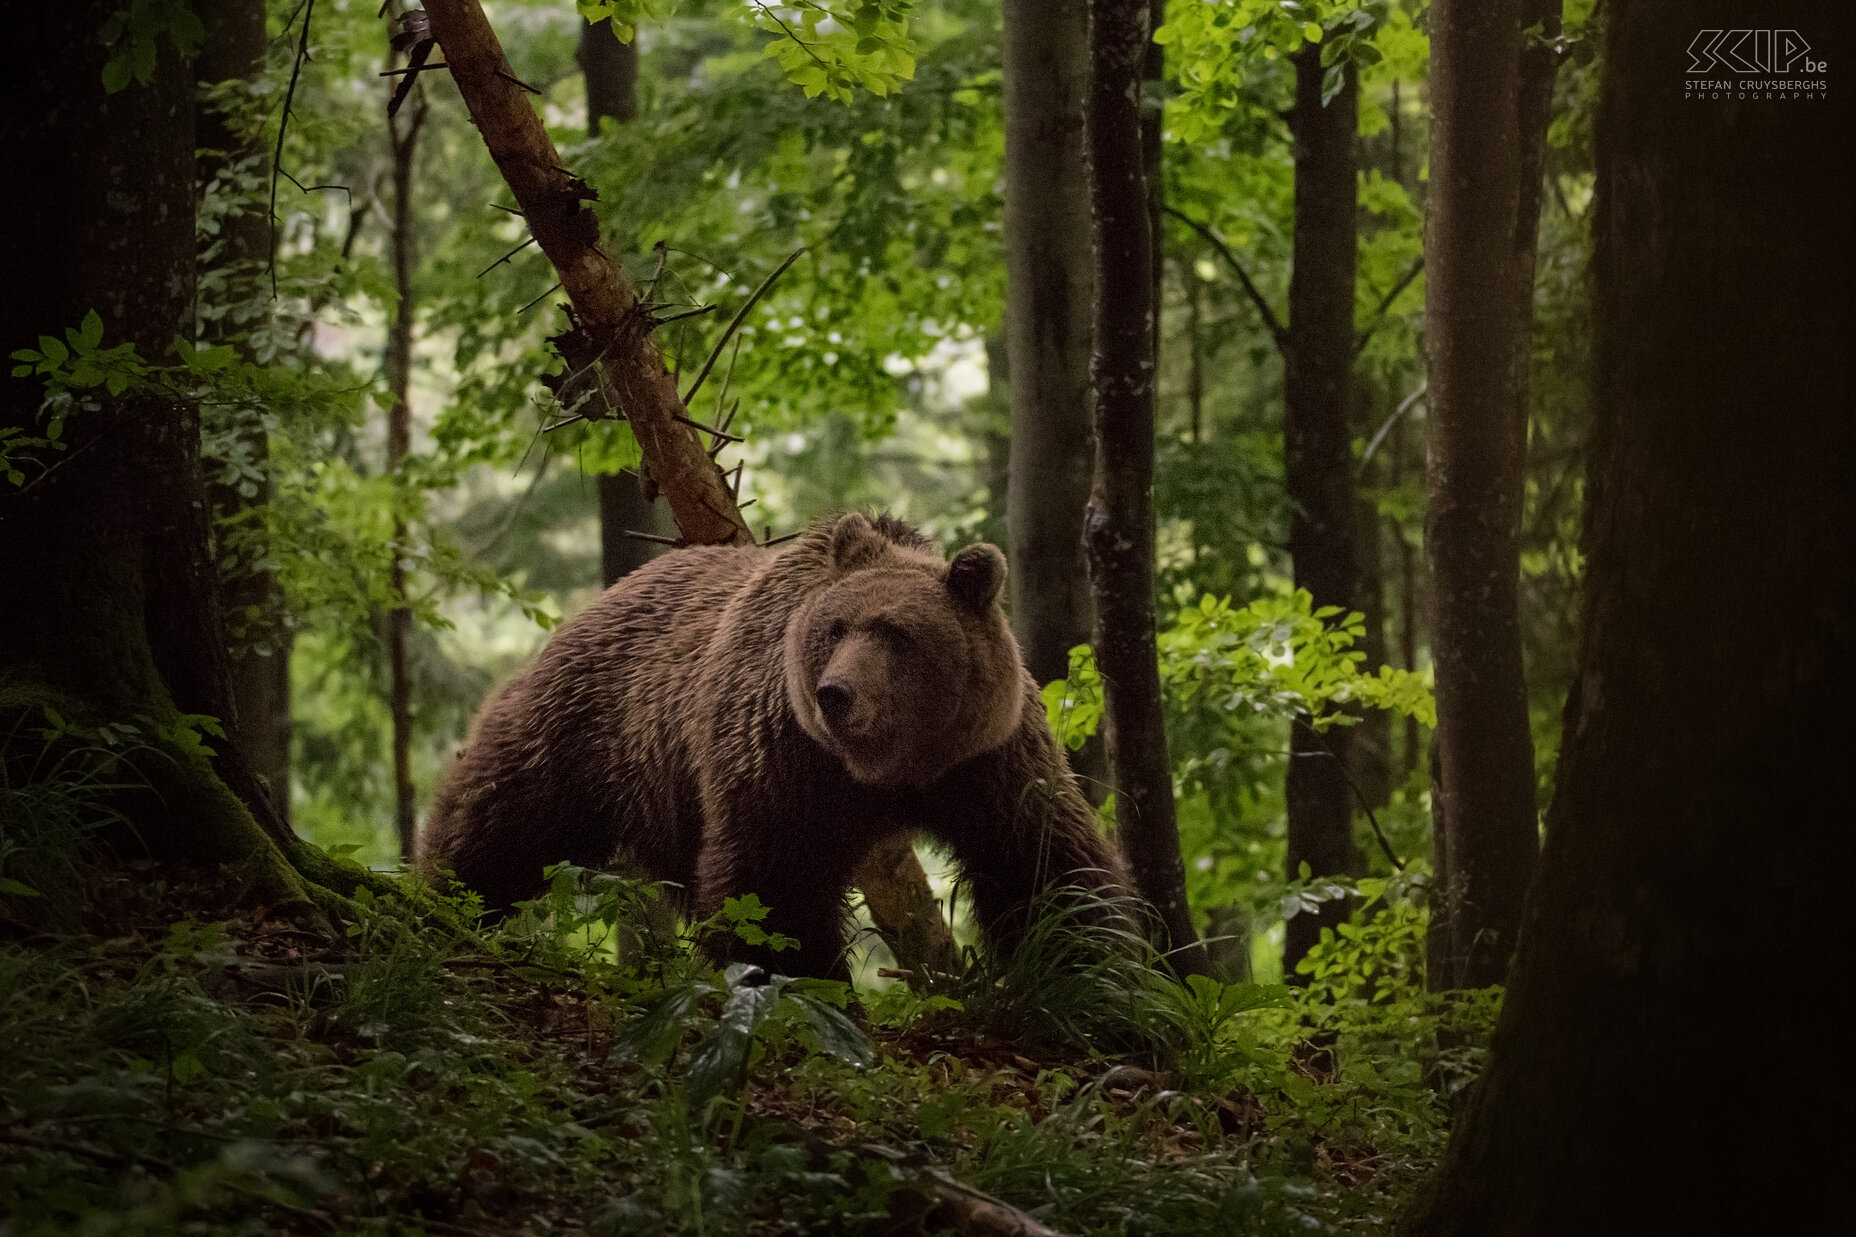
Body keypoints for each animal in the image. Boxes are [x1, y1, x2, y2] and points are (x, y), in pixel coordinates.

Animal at [421, 508, 1113, 973]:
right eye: (836, 627)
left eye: (897, 632)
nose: (837, 693)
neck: (890, 772)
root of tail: (611, 590)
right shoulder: (785, 755)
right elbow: (772, 883)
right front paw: (804, 977)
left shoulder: (987, 759)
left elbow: (1043, 862)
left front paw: (1089, 976)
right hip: (588, 725)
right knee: (501, 815)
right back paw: (443, 895)